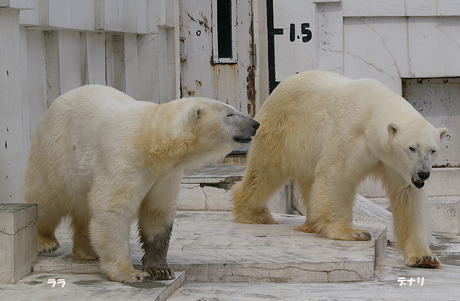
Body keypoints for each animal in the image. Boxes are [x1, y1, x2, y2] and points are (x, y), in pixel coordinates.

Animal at [27, 84, 260, 282]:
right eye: (229, 114)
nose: (255, 124)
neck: (150, 139)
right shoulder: (124, 159)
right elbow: (112, 209)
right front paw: (129, 273)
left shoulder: (165, 174)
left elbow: (157, 213)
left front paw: (160, 269)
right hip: (54, 154)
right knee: (46, 199)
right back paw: (44, 241)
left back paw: (88, 251)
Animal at [232, 69, 448, 268]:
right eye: (412, 147)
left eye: (433, 150)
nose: (423, 173)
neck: (373, 111)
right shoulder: (351, 132)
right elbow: (337, 173)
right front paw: (353, 232)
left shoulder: (397, 164)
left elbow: (407, 195)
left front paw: (424, 257)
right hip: (281, 129)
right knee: (266, 171)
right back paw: (255, 214)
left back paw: (312, 224)